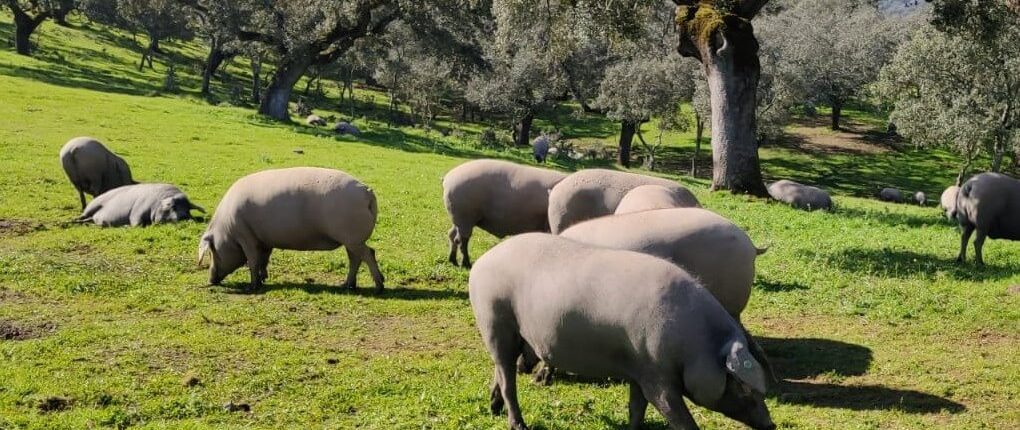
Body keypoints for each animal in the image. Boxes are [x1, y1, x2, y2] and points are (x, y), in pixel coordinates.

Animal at [77, 182, 205, 227]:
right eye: (172, 206)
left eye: (188, 210)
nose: (184, 217)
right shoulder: (137, 210)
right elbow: (137, 224)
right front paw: (127, 226)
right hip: (92, 206)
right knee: (81, 216)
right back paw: (71, 222)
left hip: (92, 217)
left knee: (88, 220)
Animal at [196, 166, 383, 291]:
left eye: (212, 251)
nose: (210, 280)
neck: (227, 231)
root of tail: (367, 192)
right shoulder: (264, 241)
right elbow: (264, 259)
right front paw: (264, 278)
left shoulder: (246, 236)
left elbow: (252, 260)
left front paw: (253, 286)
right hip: (350, 239)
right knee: (355, 258)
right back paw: (346, 285)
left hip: (352, 238)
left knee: (368, 253)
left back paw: (379, 286)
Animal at [469, 231, 771, 430]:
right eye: (743, 387)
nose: (771, 425)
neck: (696, 345)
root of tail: (482, 262)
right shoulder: (658, 378)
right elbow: (680, 419)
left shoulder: (640, 370)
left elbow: (636, 409)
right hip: (494, 321)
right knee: (507, 379)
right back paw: (517, 424)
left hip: (515, 335)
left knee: (500, 371)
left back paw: (493, 409)